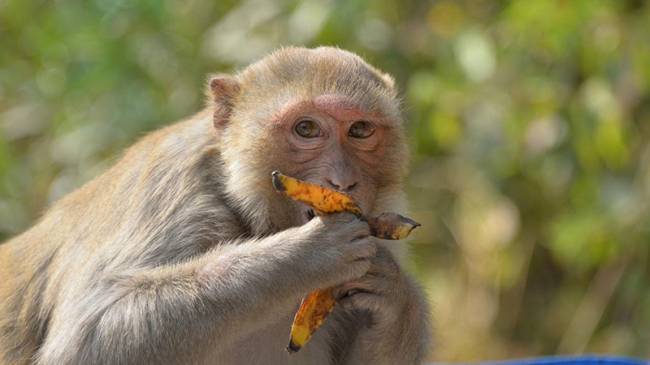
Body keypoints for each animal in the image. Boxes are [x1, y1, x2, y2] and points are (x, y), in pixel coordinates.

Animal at [0, 47, 430, 362]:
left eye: (360, 130)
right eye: (306, 128)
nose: (343, 181)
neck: (245, 211)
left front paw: (395, 294)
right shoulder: (174, 191)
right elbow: (90, 337)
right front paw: (306, 254)